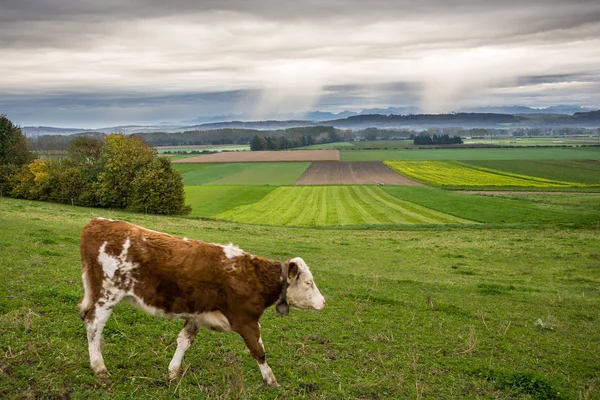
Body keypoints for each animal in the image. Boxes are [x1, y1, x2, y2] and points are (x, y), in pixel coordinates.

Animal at [79, 217, 326, 386]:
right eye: (308, 283)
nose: (323, 302)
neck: (255, 276)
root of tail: (98, 221)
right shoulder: (246, 320)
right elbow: (259, 351)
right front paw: (271, 380)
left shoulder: (197, 315)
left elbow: (183, 341)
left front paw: (173, 372)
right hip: (108, 294)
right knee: (94, 324)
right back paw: (99, 367)